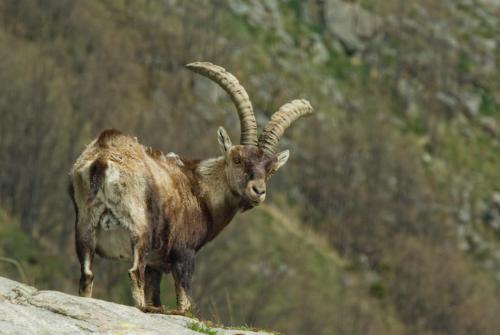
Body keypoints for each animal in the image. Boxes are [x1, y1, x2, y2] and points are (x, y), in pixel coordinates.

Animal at [69, 61, 312, 314]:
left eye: (271, 169)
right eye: (237, 159)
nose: (258, 191)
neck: (201, 190)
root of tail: (102, 160)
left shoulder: (156, 265)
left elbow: (154, 295)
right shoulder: (183, 254)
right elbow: (185, 303)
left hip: (84, 226)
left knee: (87, 275)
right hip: (139, 228)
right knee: (134, 273)